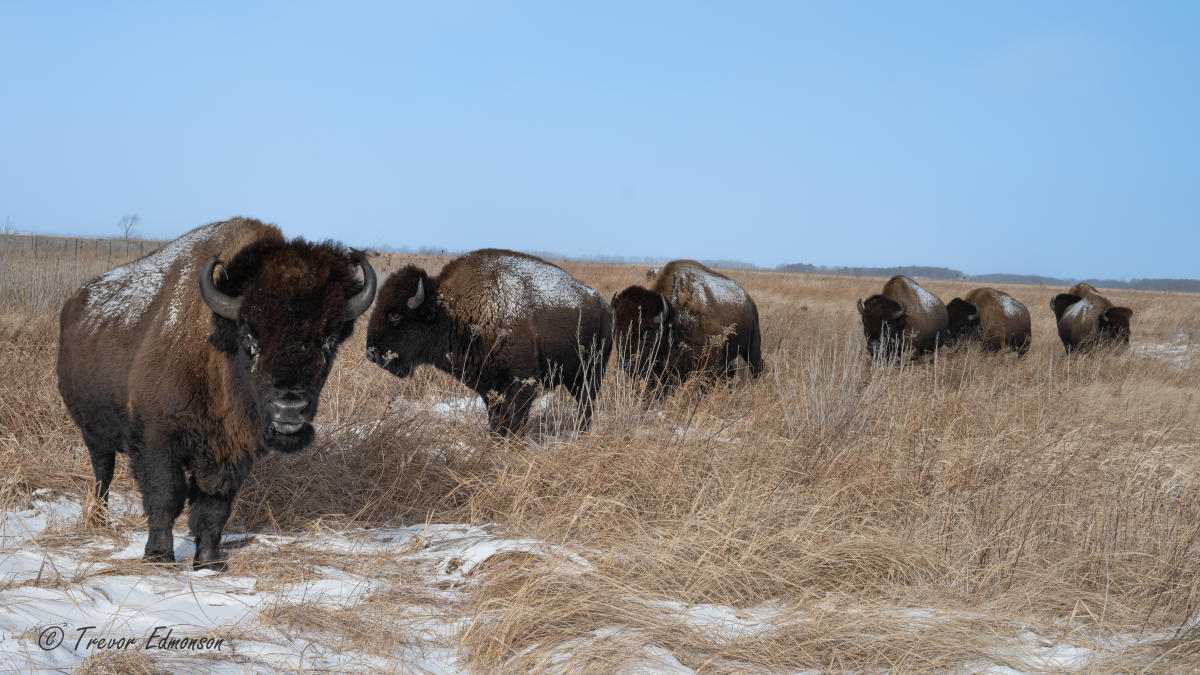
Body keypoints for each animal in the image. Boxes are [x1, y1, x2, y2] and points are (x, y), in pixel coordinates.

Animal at [57, 218, 376, 569]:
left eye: (329, 339)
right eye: (249, 335)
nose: (289, 408)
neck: (216, 354)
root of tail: (75, 302)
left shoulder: (232, 453)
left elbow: (214, 507)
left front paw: (209, 562)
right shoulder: (158, 441)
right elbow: (165, 497)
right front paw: (159, 556)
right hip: (93, 433)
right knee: (103, 472)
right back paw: (99, 520)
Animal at [365, 249, 612, 436]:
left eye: (395, 315)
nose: (371, 353)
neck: (452, 311)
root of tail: (604, 306)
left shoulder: (523, 383)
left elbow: (515, 420)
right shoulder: (488, 386)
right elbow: (496, 420)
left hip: (590, 374)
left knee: (586, 406)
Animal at [610, 260, 763, 391]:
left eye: (647, 334)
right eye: (617, 331)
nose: (626, 365)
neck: (672, 318)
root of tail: (749, 300)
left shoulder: (706, 364)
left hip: (752, 347)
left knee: (757, 367)